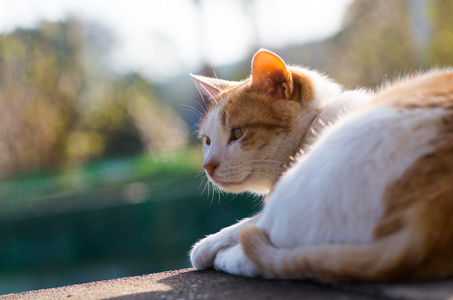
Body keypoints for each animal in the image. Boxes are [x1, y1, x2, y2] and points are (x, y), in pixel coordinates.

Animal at [189, 48, 452, 282]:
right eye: (208, 141)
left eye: (238, 132)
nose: (207, 166)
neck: (316, 123)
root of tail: (432, 213)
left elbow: (247, 224)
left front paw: (206, 245)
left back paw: (224, 255)